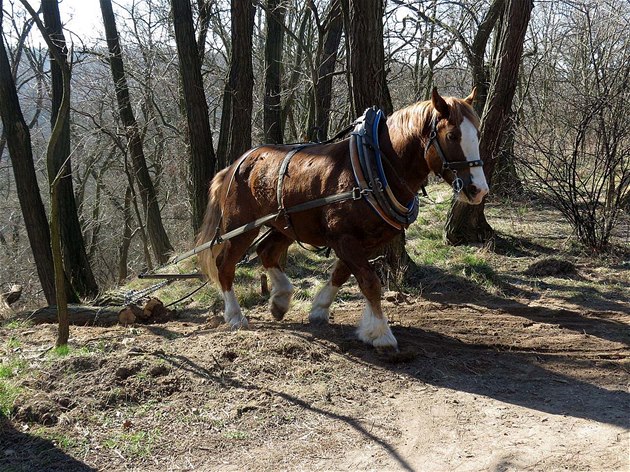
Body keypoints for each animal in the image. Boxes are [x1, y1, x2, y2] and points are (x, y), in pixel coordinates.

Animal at [198, 88, 488, 350]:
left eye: (478, 134)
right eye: (452, 135)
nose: (479, 190)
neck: (374, 168)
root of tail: (235, 165)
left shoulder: (366, 241)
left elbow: (342, 273)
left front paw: (320, 310)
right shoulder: (344, 238)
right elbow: (370, 282)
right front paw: (381, 333)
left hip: (284, 223)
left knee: (266, 251)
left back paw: (280, 299)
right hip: (240, 226)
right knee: (225, 264)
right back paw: (235, 316)